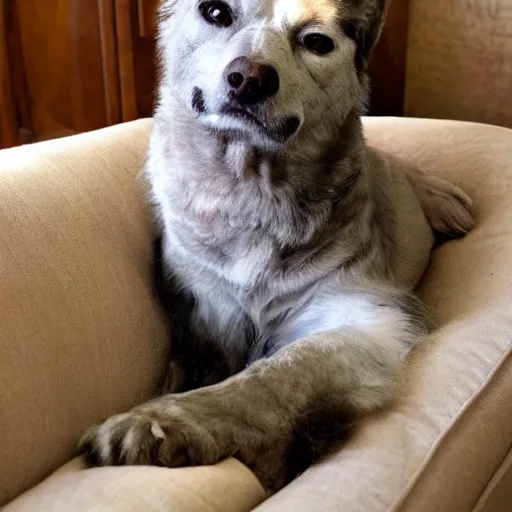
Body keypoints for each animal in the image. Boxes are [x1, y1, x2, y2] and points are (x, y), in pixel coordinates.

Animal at [78, 0, 474, 492]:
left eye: (316, 41)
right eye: (215, 12)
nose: (249, 78)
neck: (252, 187)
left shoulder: (365, 319)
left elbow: (274, 372)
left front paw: (163, 421)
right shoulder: (211, 315)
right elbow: (208, 365)